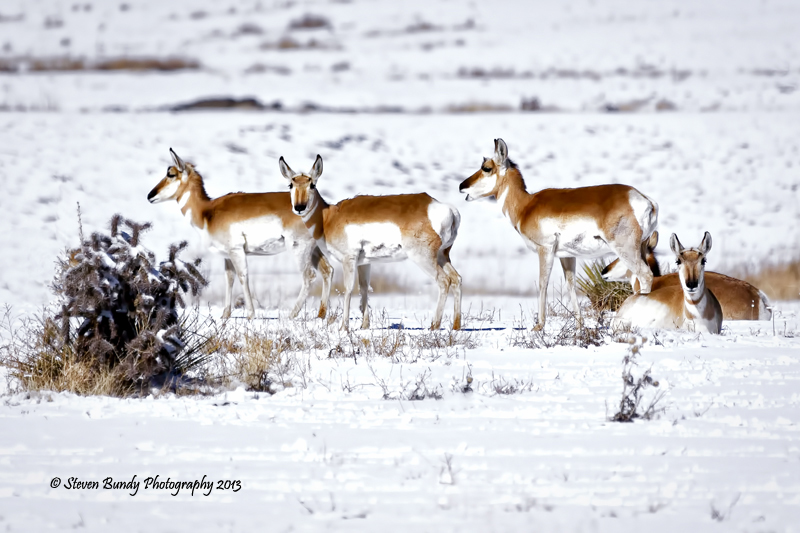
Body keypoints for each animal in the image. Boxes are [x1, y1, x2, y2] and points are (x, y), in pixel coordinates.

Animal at [147, 148, 333, 320]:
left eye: (170, 174)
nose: (150, 195)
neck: (207, 212)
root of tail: (320, 206)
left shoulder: (236, 251)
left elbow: (243, 277)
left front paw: (250, 314)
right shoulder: (227, 255)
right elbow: (229, 279)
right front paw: (225, 315)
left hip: (298, 248)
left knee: (309, 276)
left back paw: (292, 315)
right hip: (313, 250)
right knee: (327, 270)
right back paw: (321, 315)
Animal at [278, 155, 462, 331]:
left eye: (312, 185)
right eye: (291, 185)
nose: (299, 207)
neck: (328, 218)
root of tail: (445, 208)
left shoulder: (349, 259)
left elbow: (348, 289)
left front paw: (344, 327)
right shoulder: (364, 263)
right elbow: (364, 288)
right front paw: (364, 325)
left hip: (423, 258)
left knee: (444, 281)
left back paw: (434, 326)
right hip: (442, 256)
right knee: (457, 279)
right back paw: (456, 326)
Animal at [459, 138, 658, 330]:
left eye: (486, 168)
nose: (461, 186)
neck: (526, 206)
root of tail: (644, 199)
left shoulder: (545, 250)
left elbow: (542, 284)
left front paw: (539, 326)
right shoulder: (567, 256)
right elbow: (571, 286)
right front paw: (579, 327)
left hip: (626, 250)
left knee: (645, 276)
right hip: (641, 248)